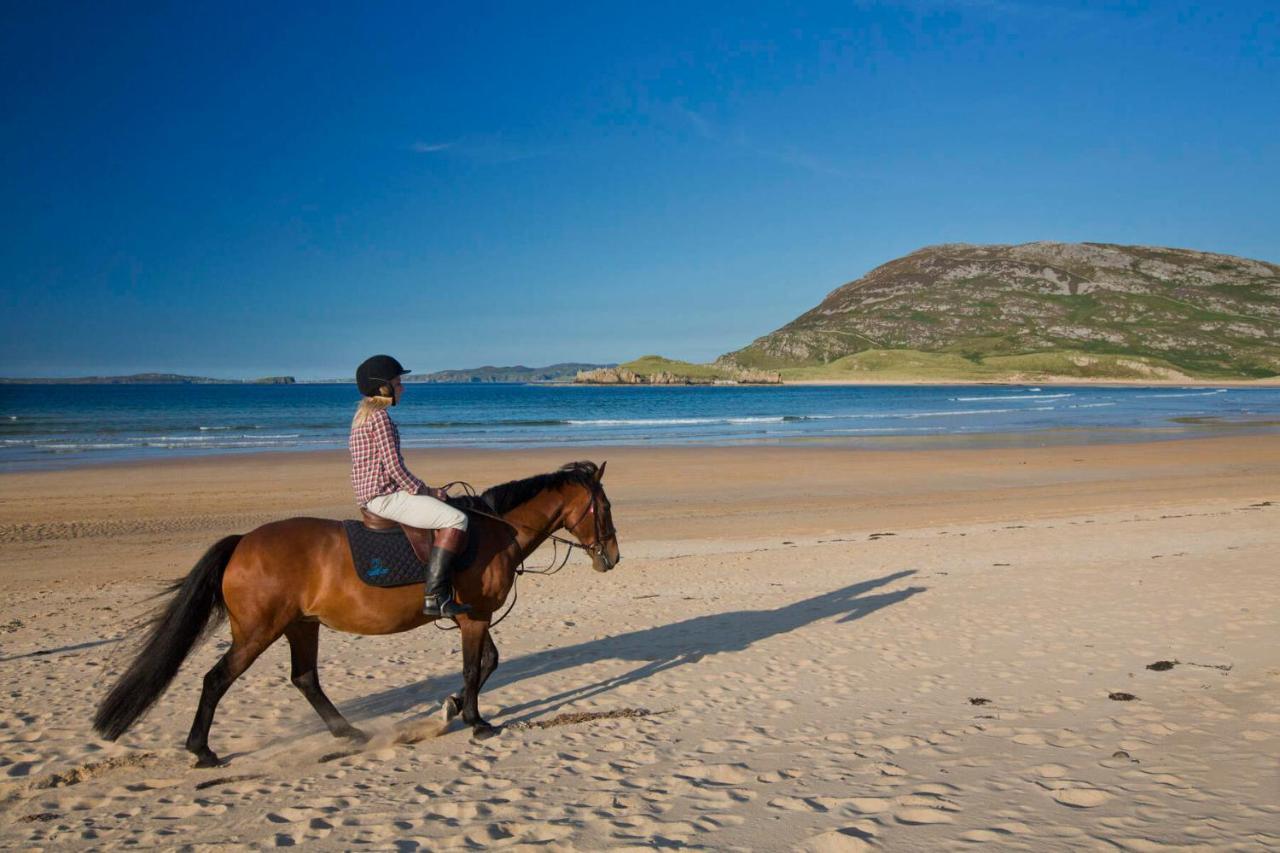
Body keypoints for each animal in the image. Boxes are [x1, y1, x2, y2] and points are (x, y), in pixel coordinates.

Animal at [92, 458, 622, 763]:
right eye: (605, 508)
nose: (612, 557)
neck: (493, 530)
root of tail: (243, 542)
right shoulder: (473, 617)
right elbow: (475, 668)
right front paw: (475, 721)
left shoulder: (473, 616)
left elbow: (488, 663)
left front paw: (451, 707)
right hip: (259, 631)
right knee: (217, 679)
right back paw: (202, 750)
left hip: (300, 626)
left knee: (305, 678)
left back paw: (349, 732)